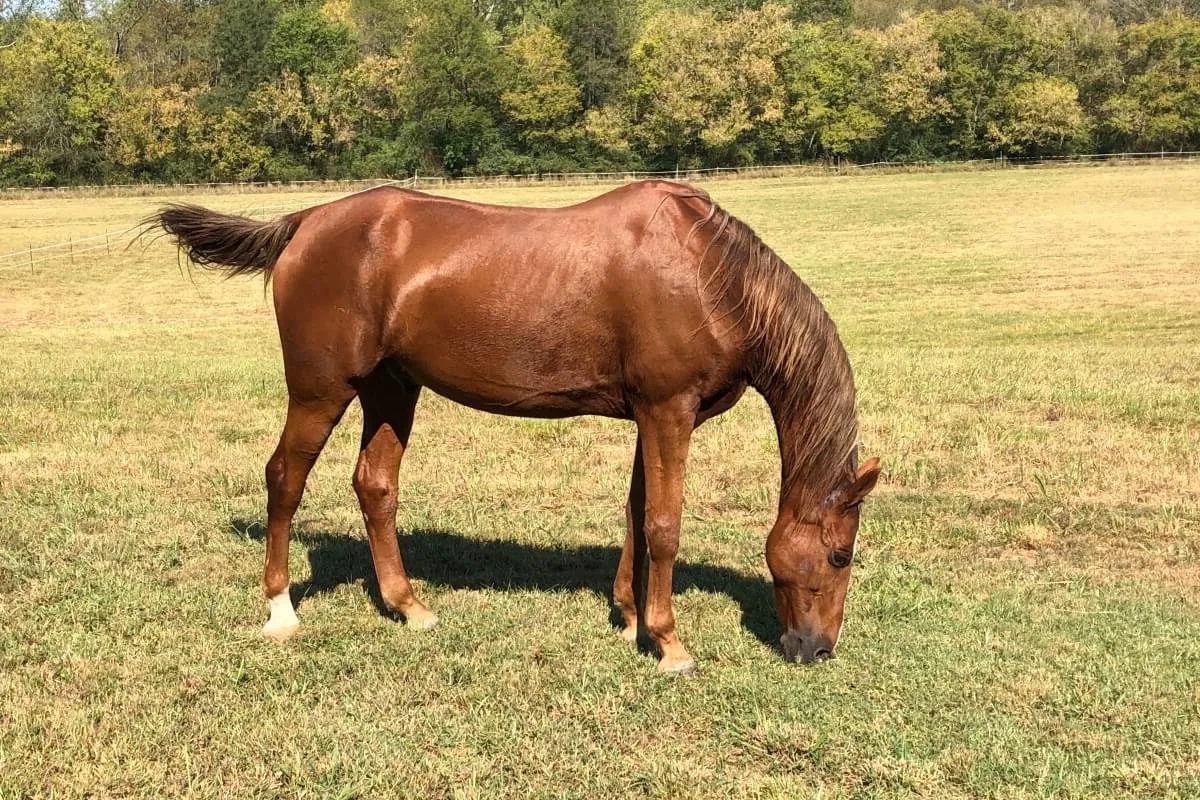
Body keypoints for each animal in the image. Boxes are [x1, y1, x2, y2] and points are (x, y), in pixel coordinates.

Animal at [152, 180, 881, 675]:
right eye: (840, 555)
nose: (816, 649)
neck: (708, 270)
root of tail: (305, 222)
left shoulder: (648, 414)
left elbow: (635, 513)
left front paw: (628, 620)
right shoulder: (670, 411)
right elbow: (665, 525)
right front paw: (669, 643)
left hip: (392, 389)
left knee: (374, 486)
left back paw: (409, 606)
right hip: (320, 390)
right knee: (285, 478)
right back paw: (281, 611)